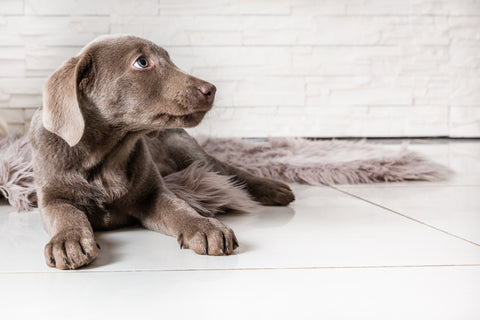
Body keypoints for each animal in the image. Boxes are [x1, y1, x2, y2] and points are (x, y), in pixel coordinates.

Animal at [29, 35, 296, 270]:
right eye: (142, 62)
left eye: (170, 59)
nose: (211, 89)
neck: (106, 155)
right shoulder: (51, 199)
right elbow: (67, 214)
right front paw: (68, 240)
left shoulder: (152, 193)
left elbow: (178, 207)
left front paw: (204, 226)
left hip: (188, 152)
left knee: (228, 169)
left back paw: (273, 188)